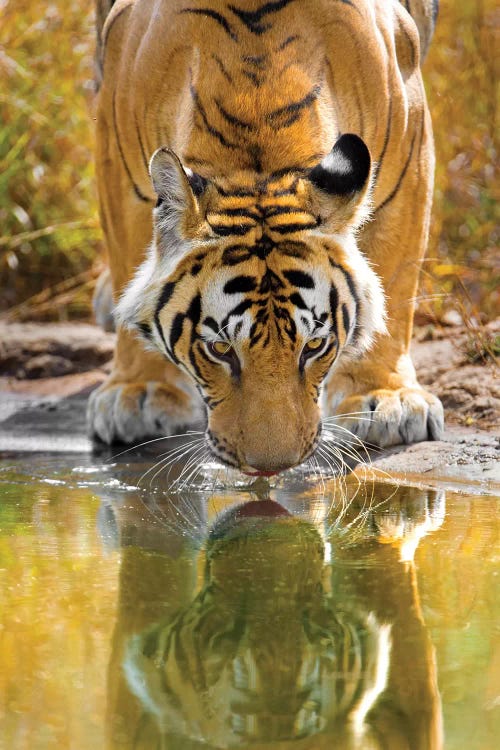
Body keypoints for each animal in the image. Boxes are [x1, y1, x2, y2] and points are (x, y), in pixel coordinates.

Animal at [88, 0, 444, 472]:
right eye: (220, 350)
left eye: (314, 346)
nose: (272, 467)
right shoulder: (119, 160)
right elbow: (130, 257)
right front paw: (139, 391)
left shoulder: (410, 144)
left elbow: (395, 279)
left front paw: (386, 399)